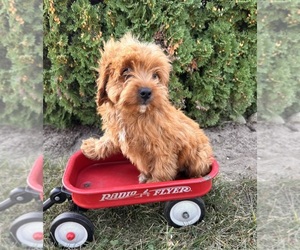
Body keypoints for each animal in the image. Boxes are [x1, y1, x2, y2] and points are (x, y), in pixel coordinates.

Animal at [81, 33, 213, 183]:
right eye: (126, 70)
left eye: (155, 75)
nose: (146, 92)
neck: (134, 113)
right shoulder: (116, 130)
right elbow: (107, 140)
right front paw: (92, 147)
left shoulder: (164, 147)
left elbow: (162, 169)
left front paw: (154, 184)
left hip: (199, 157)